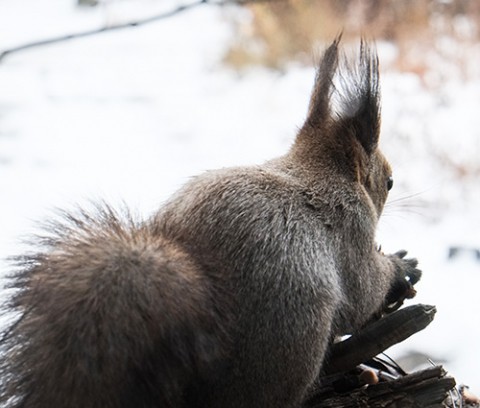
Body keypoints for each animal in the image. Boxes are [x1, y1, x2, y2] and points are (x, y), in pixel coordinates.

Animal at [0, 36, 420, 406]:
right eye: (390, 181)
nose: (394, 186)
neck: (320, 170)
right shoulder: (352, 226)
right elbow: (364, 289)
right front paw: (400, 269)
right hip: (297, 336)